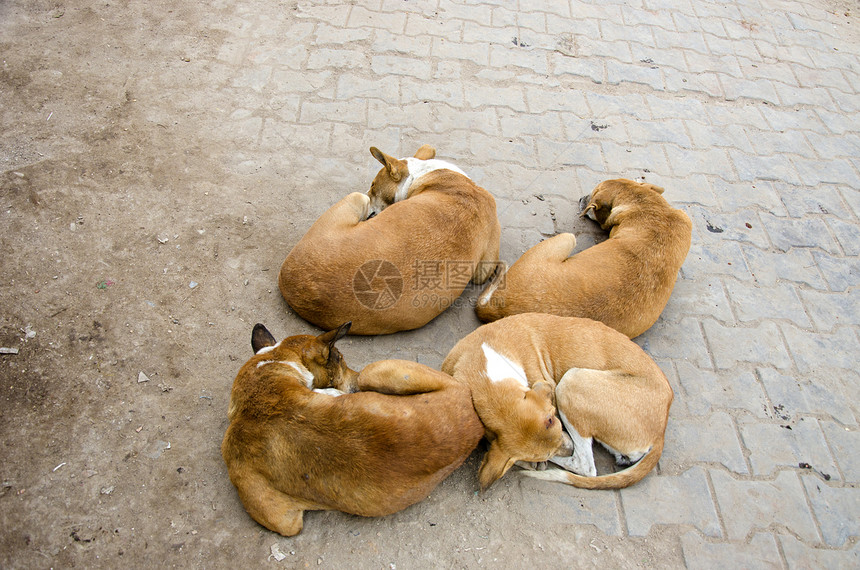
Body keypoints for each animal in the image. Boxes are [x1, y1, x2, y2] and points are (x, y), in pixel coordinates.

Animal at [223, 322, 484, 536]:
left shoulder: (282, 520)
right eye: (341, 360)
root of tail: (473, 418)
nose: (353, 383)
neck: (262, 388)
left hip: (372, 372)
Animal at [440, 310, 676, 488]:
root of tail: (661, 431)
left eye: (554, 417)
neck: (484, 363)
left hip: (572, 381)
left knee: (585, 466)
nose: (567, 447)